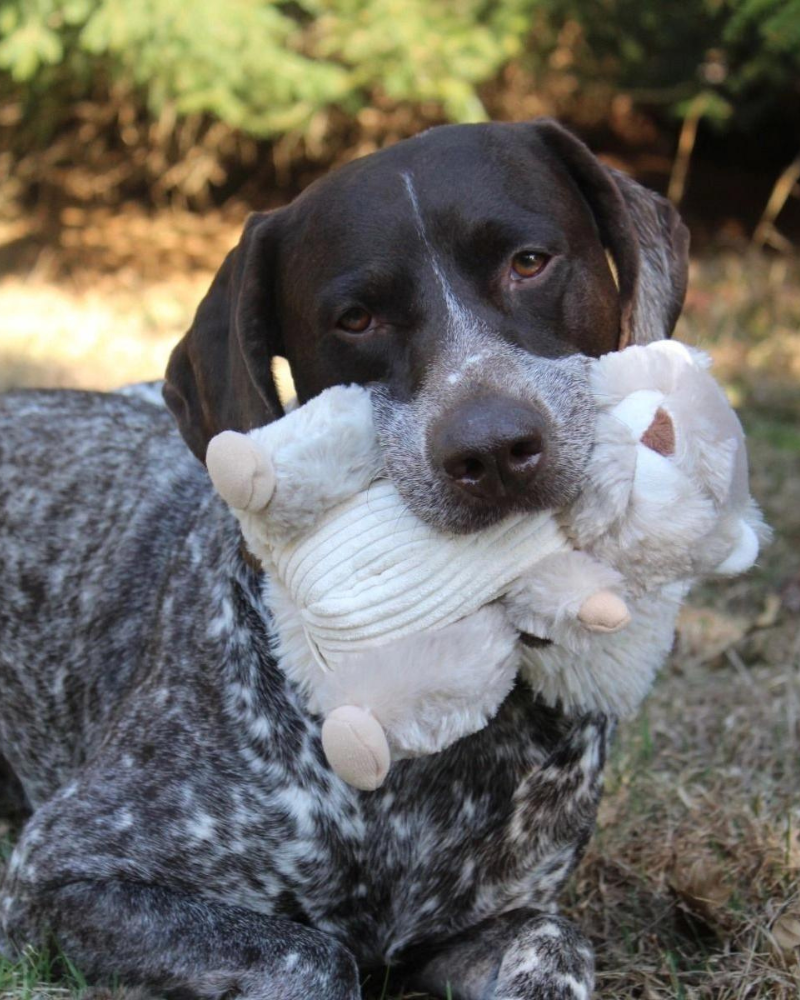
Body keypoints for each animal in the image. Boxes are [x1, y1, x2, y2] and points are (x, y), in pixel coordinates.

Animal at [0, 121, 688, 996]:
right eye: (356, 319)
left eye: (529, 262)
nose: (494, 449)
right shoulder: (64, 870)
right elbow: (315, 954)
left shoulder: (489, 922)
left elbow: (558, 942)